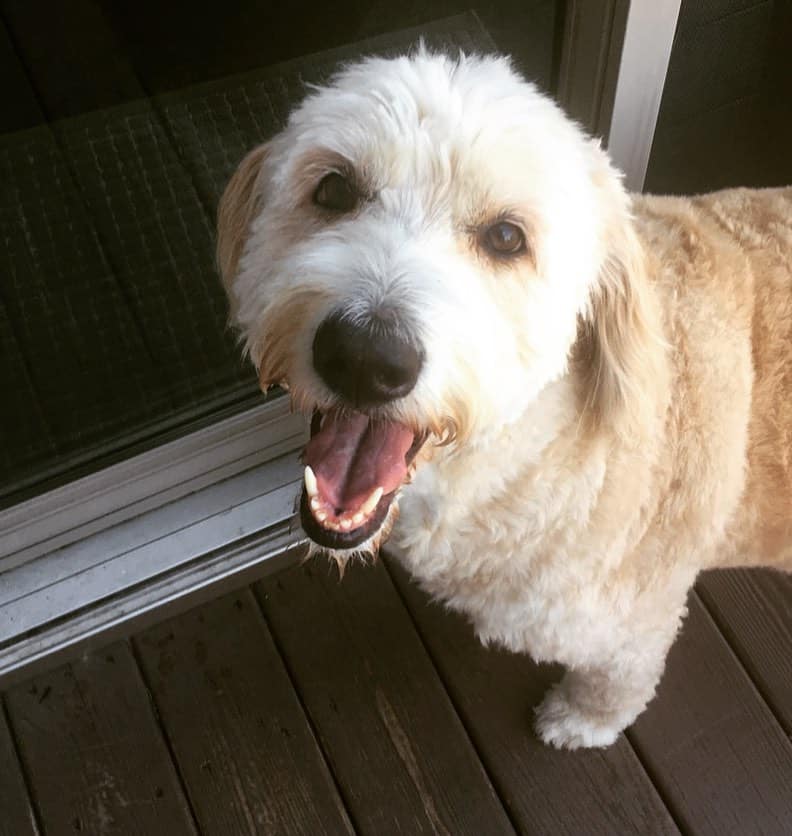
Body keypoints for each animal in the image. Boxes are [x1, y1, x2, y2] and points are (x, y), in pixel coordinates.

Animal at [217, 49, 792, 748]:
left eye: (507, 238)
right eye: (334, 190)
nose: (365, 359)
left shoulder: (635, 625)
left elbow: (619, 682)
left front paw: (582, 721)